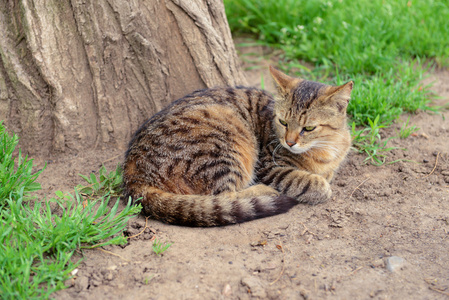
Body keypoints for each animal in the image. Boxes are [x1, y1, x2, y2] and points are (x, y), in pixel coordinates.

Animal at [123, 65, 354, 225]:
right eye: (283, 122)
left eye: (309, 128)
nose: (289, 142)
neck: (325, 148)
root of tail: (132, 173)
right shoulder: (268, 167)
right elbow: (304, 181)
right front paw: (320, 186)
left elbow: (327, 174)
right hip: (225, 145)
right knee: (224, 198)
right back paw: (265, 192)